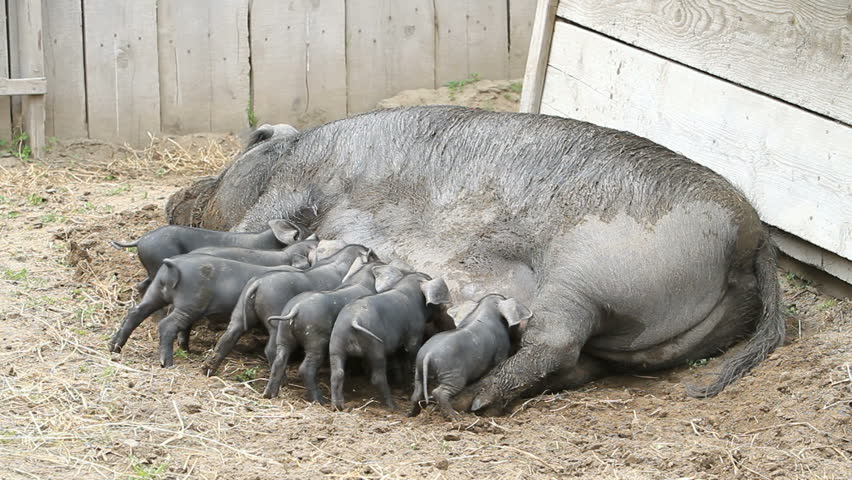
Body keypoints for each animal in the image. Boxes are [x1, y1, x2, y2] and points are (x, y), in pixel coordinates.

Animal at [201, 245, 377, 376]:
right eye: (374, 255)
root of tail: (257, 284)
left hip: (238, 315)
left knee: (227, 338)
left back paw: (207, 369)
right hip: (275, 319)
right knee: (271, 350)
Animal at [328, 269, 451, 410]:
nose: (443, 308)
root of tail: (354, 320)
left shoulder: (399, 346)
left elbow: (402, 363)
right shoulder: (414, 335)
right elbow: (412, 355)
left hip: (336, 344)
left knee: (337, 374)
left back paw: (337, 406)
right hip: (375, 349)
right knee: (377, 378)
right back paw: (394, 407)